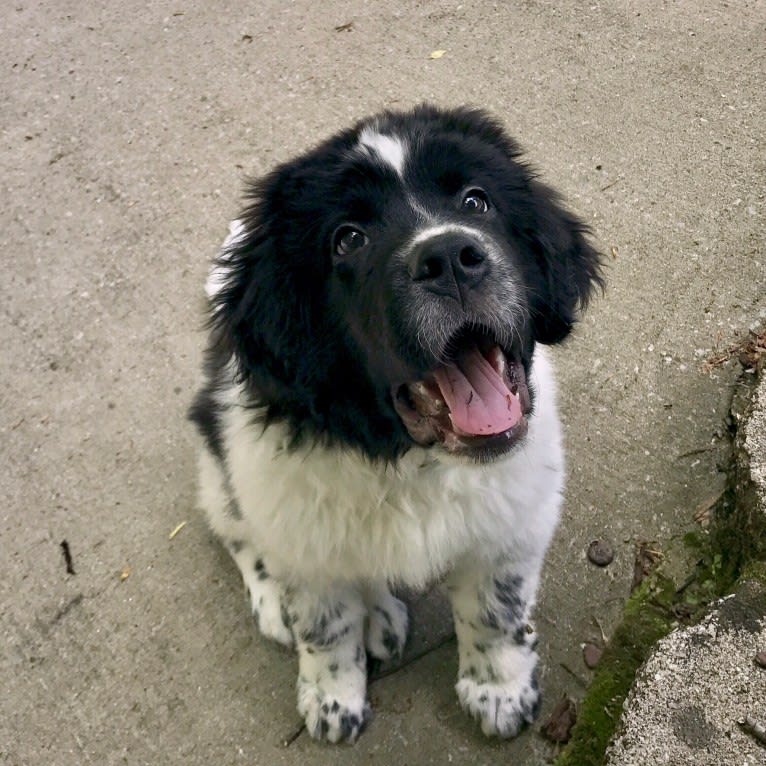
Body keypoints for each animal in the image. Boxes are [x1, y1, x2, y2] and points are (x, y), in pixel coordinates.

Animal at [189, 103, 604, 744]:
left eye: (477, 201)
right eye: (348, 239)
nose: (451, 257)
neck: (412, 459)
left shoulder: (514, 518)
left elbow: (496, 607)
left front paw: (499, 689)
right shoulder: (296, 528)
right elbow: (323, 624)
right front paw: (332, 700)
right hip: (219, 460)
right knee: (236, 532)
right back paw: (287, 603)